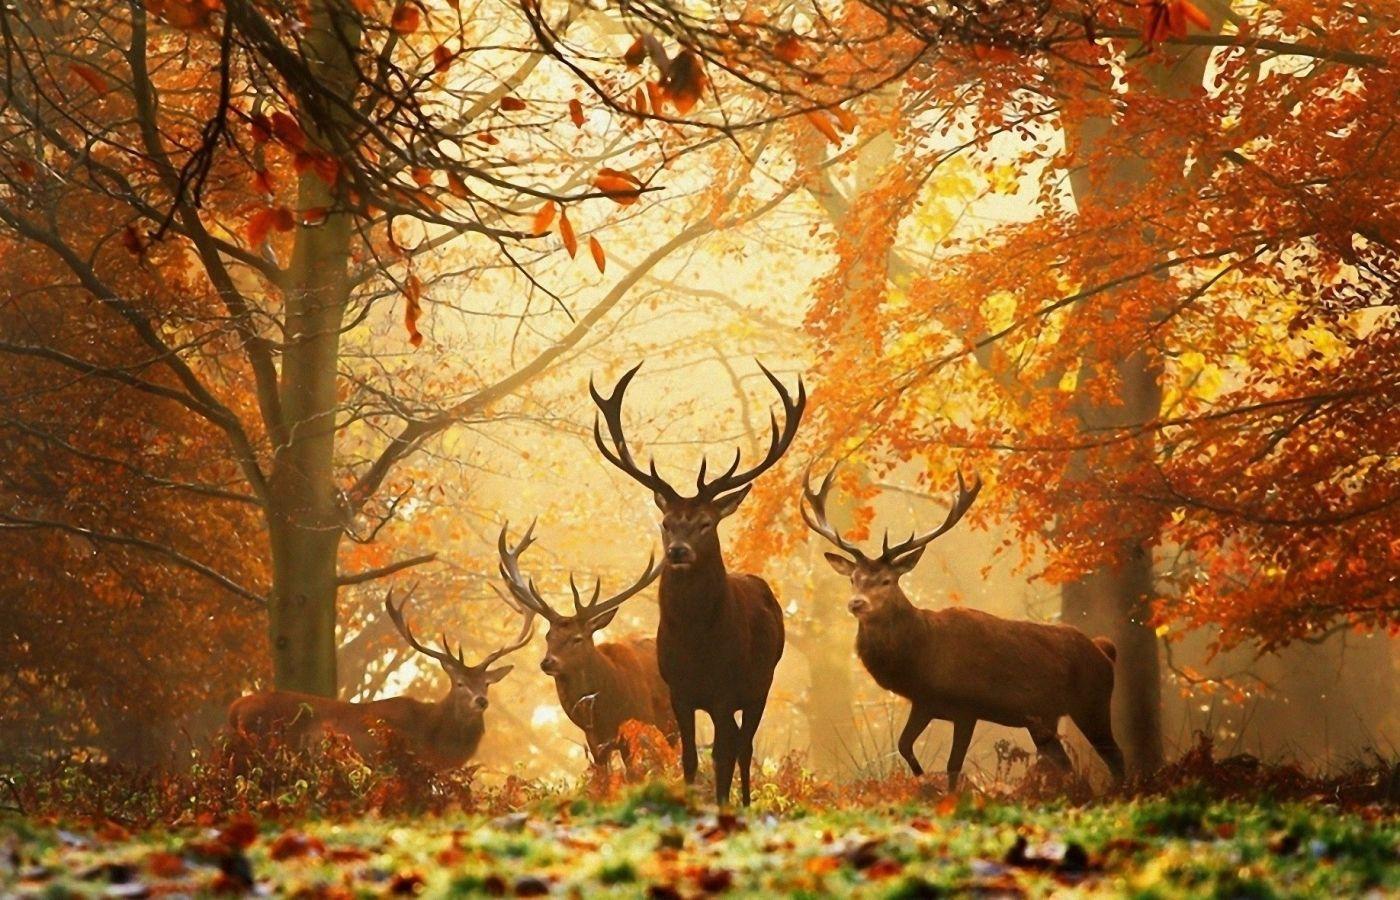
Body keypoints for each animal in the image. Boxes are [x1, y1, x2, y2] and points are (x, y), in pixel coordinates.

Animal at [591, 361, 805, 805]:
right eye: (666, 522)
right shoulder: (679, 691)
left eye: (706, 523)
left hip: (761, 683)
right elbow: (689, 758)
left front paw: (722, 806)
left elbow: (722, 756)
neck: (697, 645)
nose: (678, 551)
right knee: (738, 743)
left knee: (744, 746)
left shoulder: (725, 690)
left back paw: (744, 802)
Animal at [801, 465, 1125, 790]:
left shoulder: (967, 706)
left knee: (1116, 757)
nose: (856, 603)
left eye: (886, 580)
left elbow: (953, 765)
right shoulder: (924, 702)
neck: (922, 658)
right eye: (853, 578)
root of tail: (1104, 651)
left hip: (1092, 702)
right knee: (1065, 764)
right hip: (1044, 718)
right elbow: (904, 745)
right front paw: (923, 781)